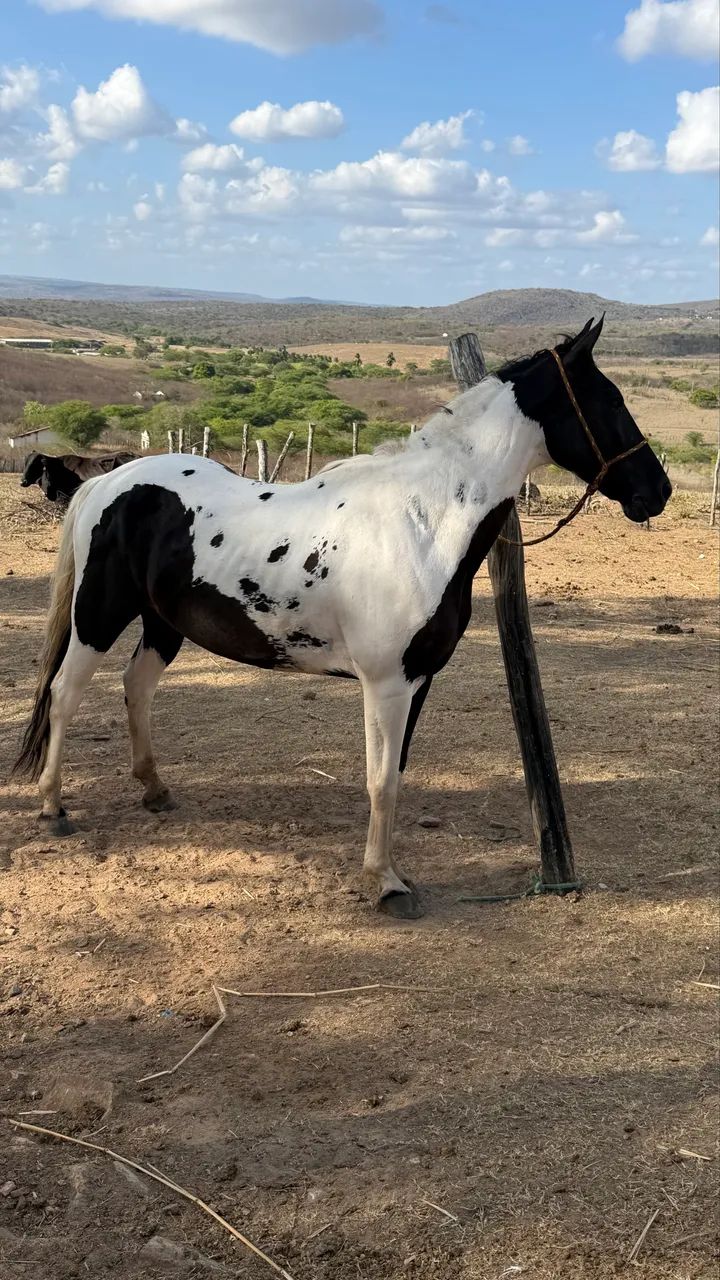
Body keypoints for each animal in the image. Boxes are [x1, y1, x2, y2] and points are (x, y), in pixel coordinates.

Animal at [14, 318, 671, 918]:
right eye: (611, 401)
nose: (657, 491)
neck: (422, 523)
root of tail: (107, 483)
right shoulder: (386, 684)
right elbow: (380, 779)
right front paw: (384, 884)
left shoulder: (417, 680)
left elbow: (395, 775)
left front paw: (388, 872)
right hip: (98, 615)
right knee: (64, 693)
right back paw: (53, 807)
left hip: (162, 623)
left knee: (136, 687)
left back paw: (154, 789)